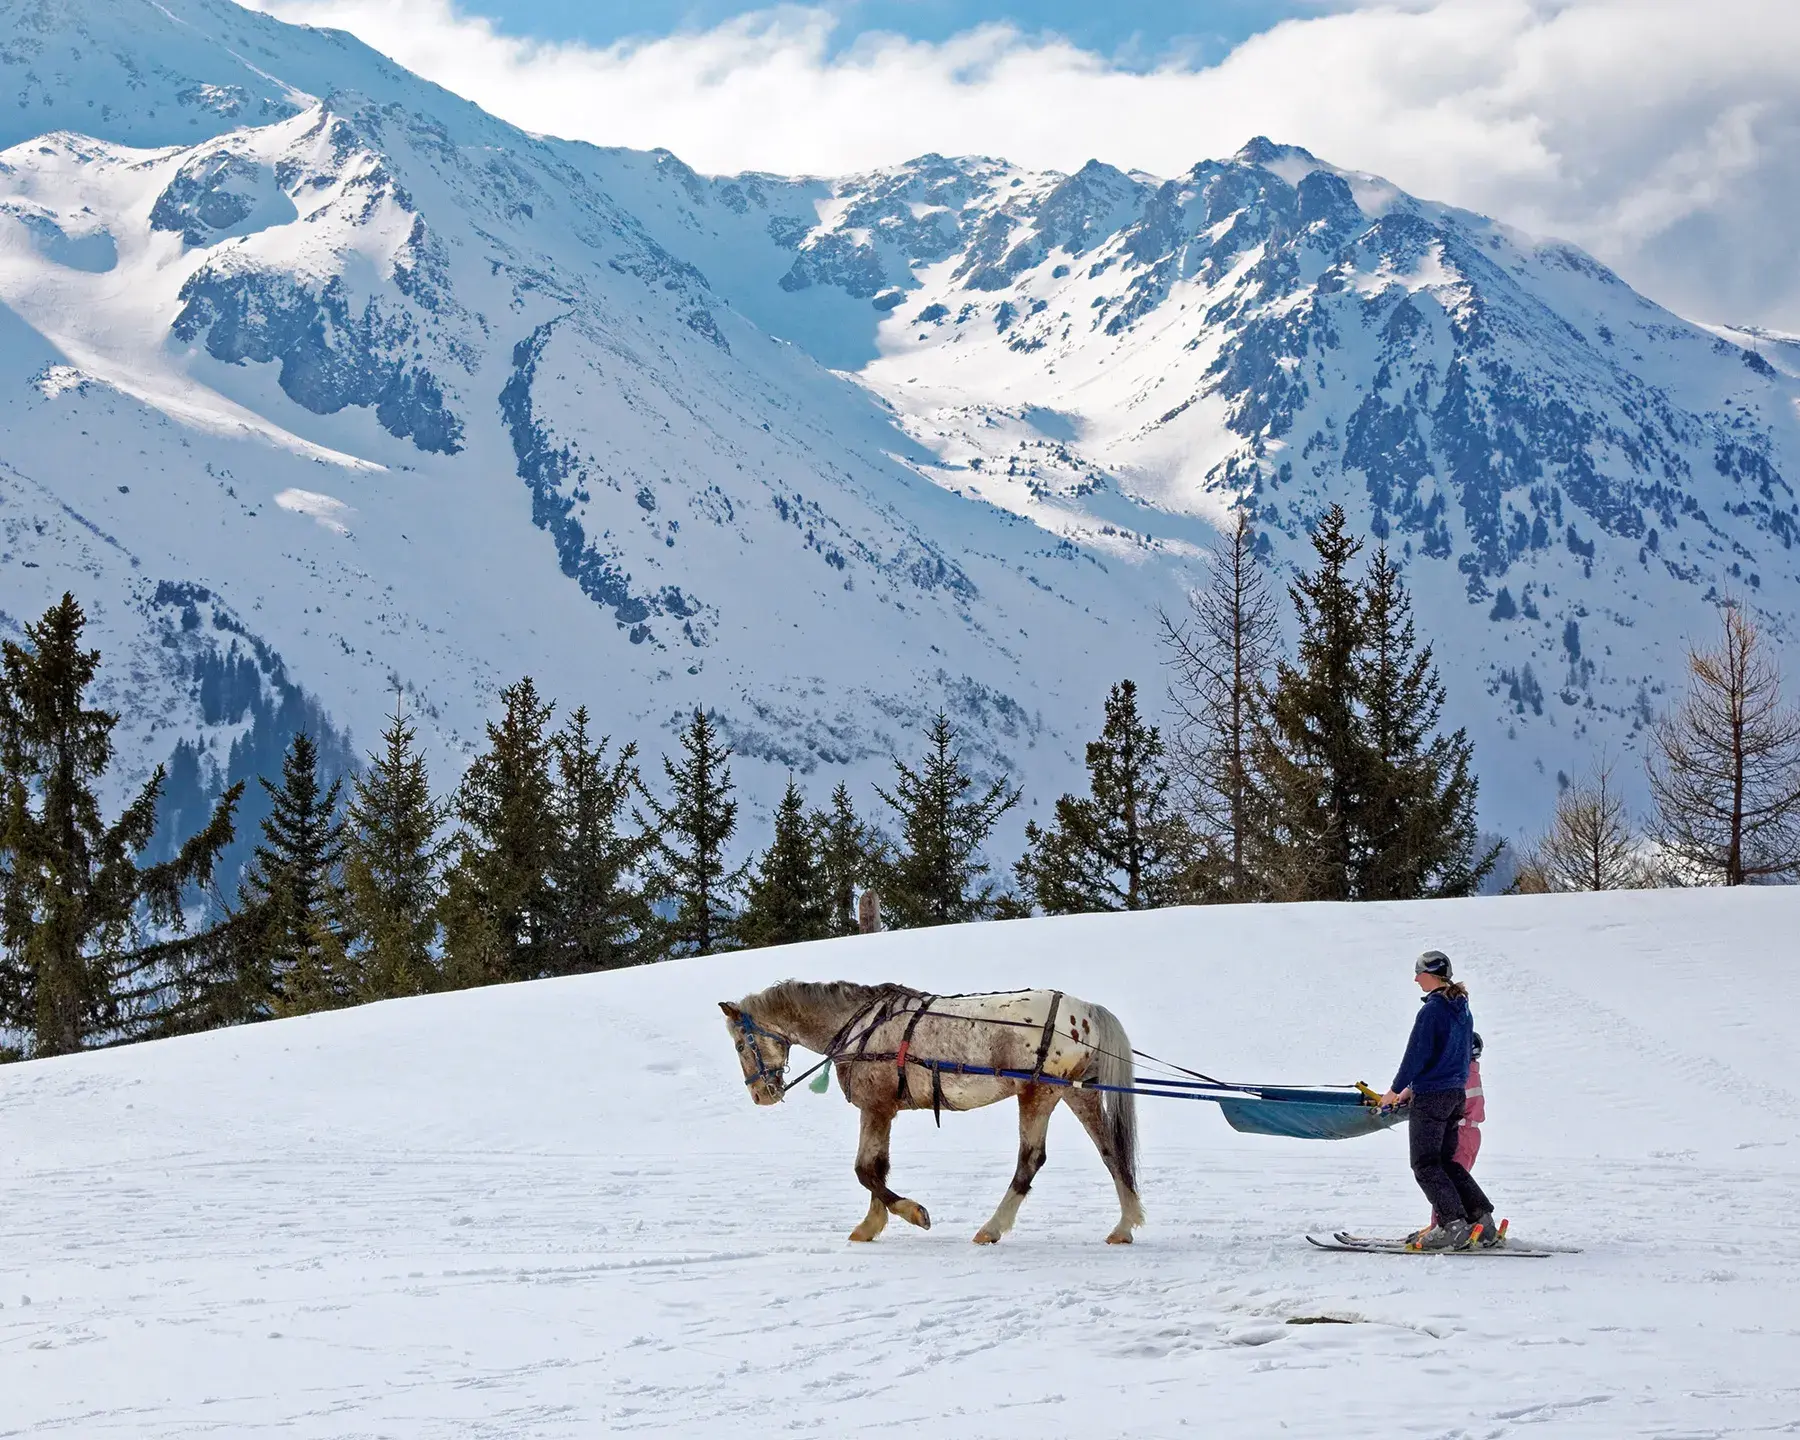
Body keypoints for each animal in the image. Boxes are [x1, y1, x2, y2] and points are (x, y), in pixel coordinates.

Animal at [719, 980, 1144, 1245]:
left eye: (740, 1044)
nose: (760, 1094)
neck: (862, 1028)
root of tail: (1085, 1011)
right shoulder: (883, 1108)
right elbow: (878, 1167)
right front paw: (871, 1224)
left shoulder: (875, 1106)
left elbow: (865, 1170)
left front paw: (913, 1213)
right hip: (1077, 1092)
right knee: (1110, 1150)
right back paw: (1125, 1225)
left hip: (1039, 1092)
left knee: (1030, 1160)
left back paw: (991, 1228)